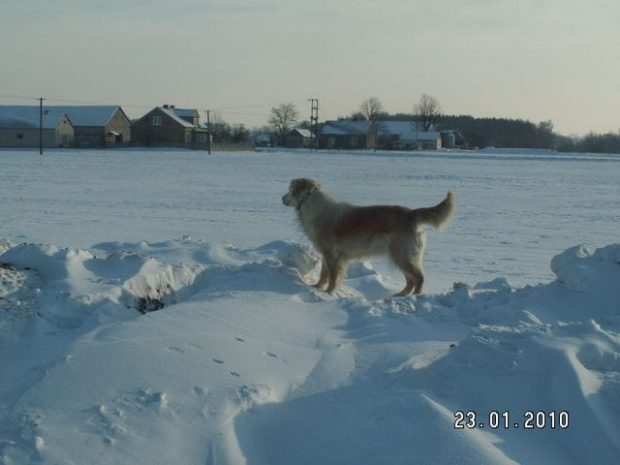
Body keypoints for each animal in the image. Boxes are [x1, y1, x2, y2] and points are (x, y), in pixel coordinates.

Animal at [284, 176, 452, 296]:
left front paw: (329, 292)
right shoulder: (327, 254)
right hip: (400, 256)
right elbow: (324, 274)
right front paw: (317, 287)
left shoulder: (333, 255)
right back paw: (400, 295)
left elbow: (332, 276)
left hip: (403, 255)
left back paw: (414, 297)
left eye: (290, 190)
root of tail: (413, 213)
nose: (281, 198)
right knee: (410, 280)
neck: (312, 206)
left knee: (418, 278)